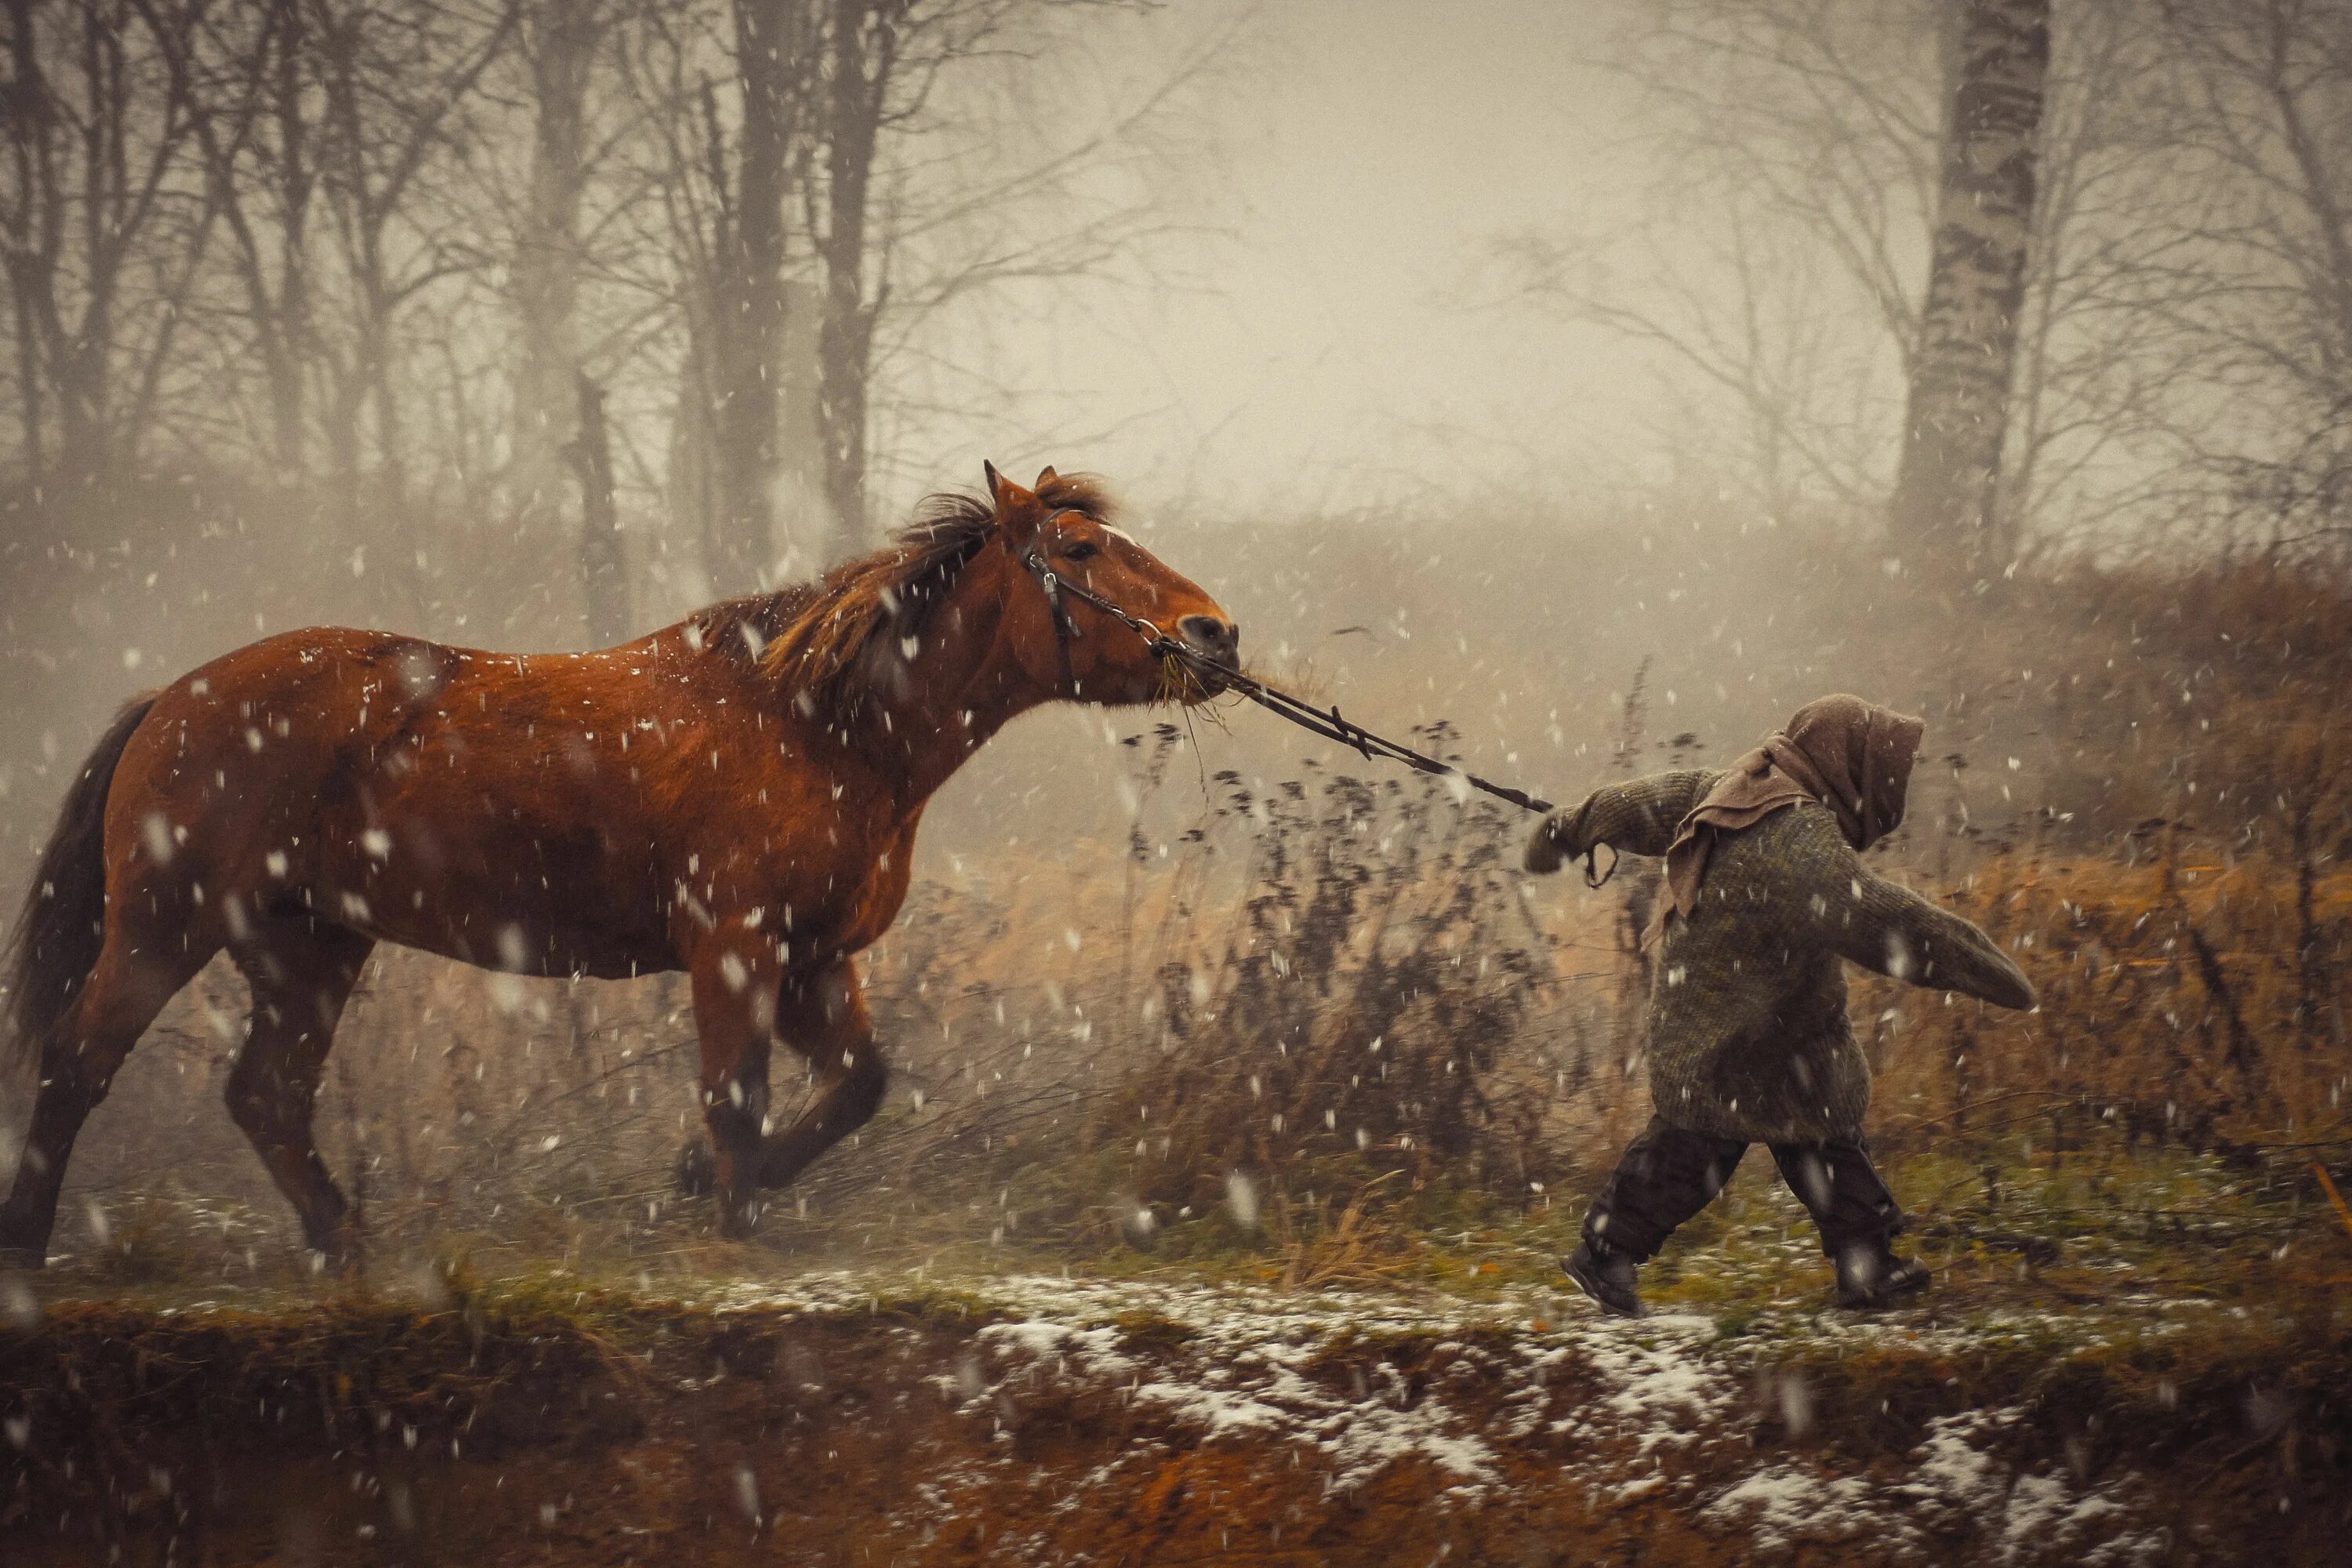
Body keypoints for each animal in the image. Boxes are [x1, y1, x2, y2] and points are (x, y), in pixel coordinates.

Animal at [0, 463, 1242, 1260]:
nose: (1215, 632)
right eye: (1078, 550)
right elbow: (736, 1097)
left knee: (266, 1094)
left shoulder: (812, 961)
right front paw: (733, 1226)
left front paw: (708, 1186)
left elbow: (854, 1087)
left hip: (309, 947)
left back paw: (342, 1241)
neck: (817, 723)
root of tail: (172, 696)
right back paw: (31, 1242)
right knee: (77, 1062)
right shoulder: (736, 948)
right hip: (165, 929)